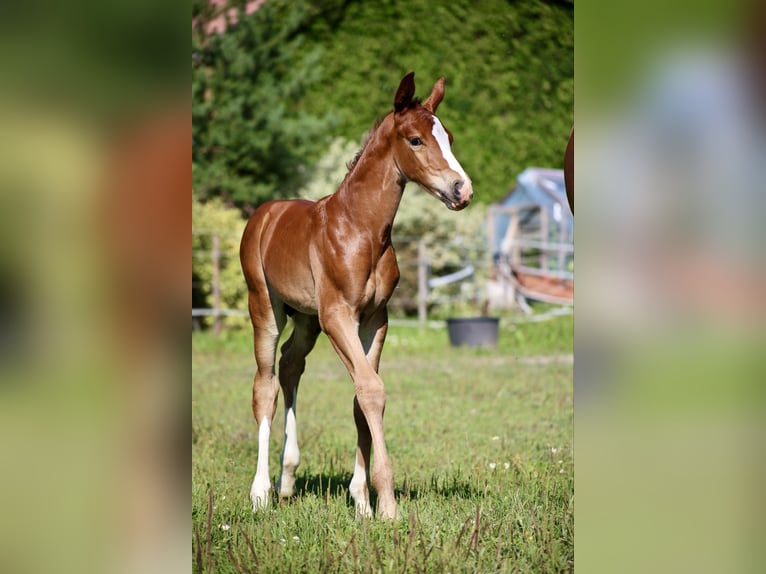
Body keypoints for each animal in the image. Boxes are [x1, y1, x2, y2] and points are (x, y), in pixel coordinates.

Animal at [242, 72, 474, 520]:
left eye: (450, 137)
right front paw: (386, 502)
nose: (463, 190)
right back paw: (260, 492)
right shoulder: (338, 316)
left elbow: (360, 398)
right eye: (415, 139)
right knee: (266, 385)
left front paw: (363, 500)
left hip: (307, 319)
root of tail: (265, 213)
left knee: (291, 365)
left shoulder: (374, 320)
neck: (362, 229)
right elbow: (371, 389)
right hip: (265, 307)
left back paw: (287, 479)